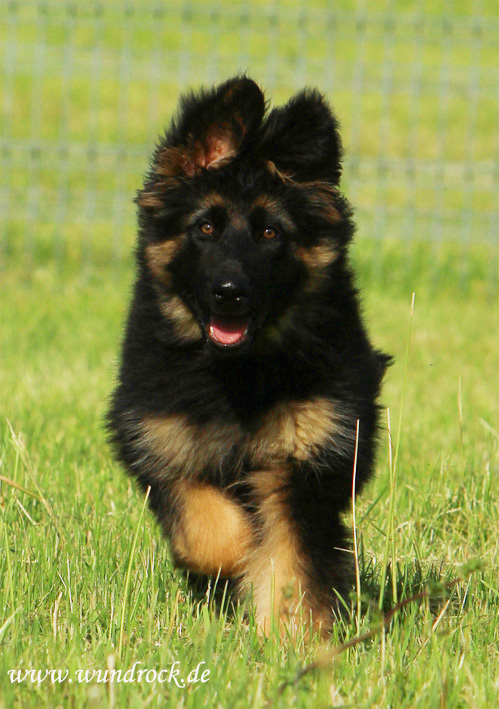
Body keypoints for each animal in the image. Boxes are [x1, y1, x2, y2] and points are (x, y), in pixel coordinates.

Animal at [107, 76, 390, 635]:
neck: (237, 374)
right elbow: (207, 528)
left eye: (269, 232)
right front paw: (235, 555)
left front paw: (294, 636)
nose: (230, 293)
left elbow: (292, 557)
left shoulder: (305, 459)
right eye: (205, 228)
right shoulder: (161, 443)